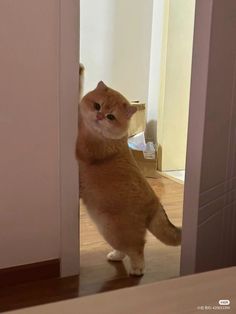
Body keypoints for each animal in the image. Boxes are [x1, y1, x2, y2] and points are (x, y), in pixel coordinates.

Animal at [75, 68, 181, 274]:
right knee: (126, 250)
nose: (99, 116)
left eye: (111, 117)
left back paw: (137, 269)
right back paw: (115, 256)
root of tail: (156, 203)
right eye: (97, 106)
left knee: (137, 248)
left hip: (114, 230)